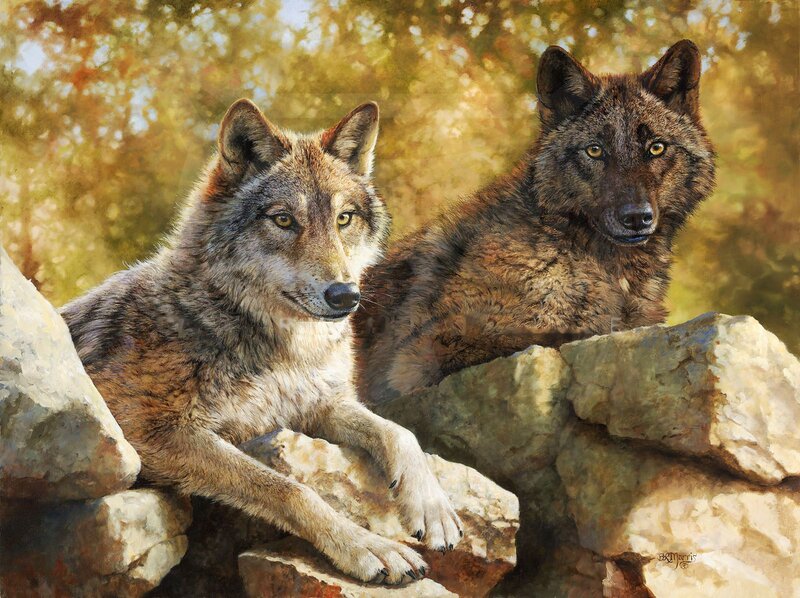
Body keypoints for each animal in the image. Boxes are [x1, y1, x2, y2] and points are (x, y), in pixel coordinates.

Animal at [60, 99, 462, 584]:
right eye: (283, 220)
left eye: (344, 219)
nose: (345, 296)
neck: (284, 352)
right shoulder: (144, 428)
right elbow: (290, 489)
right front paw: (367, 547)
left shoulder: (317, 405)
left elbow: (398, 432)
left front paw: (433, 507)